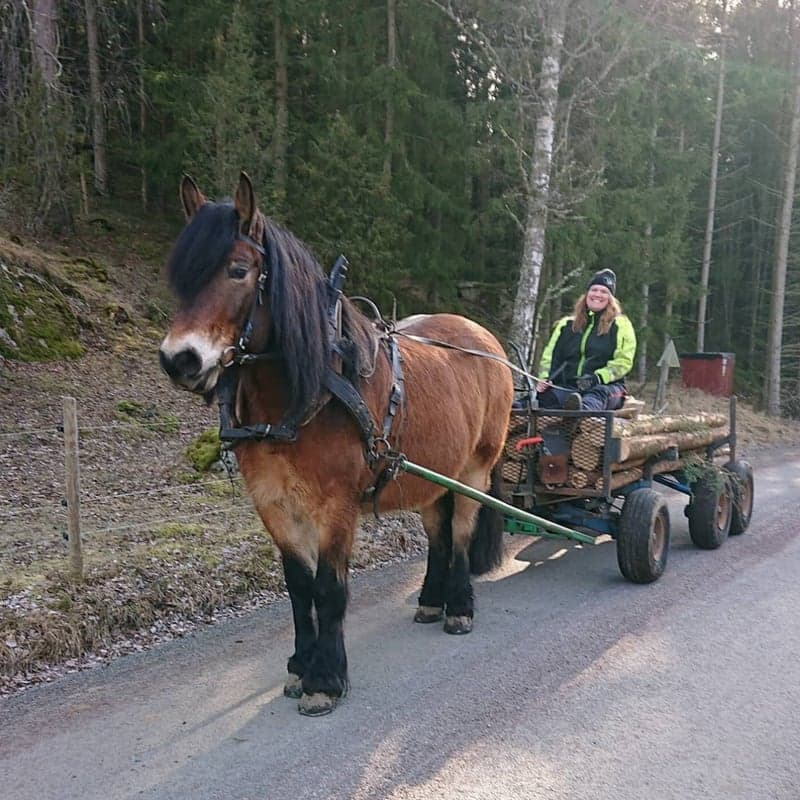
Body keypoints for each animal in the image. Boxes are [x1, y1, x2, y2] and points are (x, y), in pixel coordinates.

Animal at [159, 172, 516, 716]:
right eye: (181, 276)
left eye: (238, 270)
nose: (179, 359)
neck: (309, 392)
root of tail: (486, 340)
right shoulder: (274, 504)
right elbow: (297, 587)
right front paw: (300, 664)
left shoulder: (335, 506)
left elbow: (328, 589)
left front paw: (325, 678)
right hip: (429, 471)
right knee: (437, 530)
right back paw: (431, 600)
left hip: (474, 469)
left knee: (458, 533)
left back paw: (458, 606)